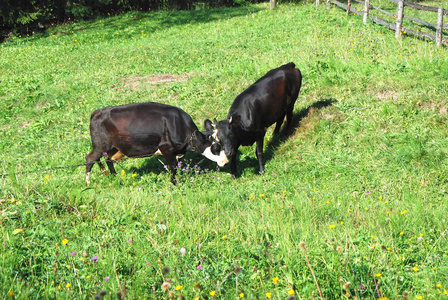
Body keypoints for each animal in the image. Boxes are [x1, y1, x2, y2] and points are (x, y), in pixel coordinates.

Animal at [85, 102, 228, 184]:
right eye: (216, 147)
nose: (226, 161)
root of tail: (97, 112)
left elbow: (176, 167)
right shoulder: (166, 148)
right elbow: (173, 167)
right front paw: (173, 184)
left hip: (113, 148)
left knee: (108, 159)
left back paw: (114, 176)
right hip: (100, 145)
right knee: (90, 158)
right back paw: (88, 182)